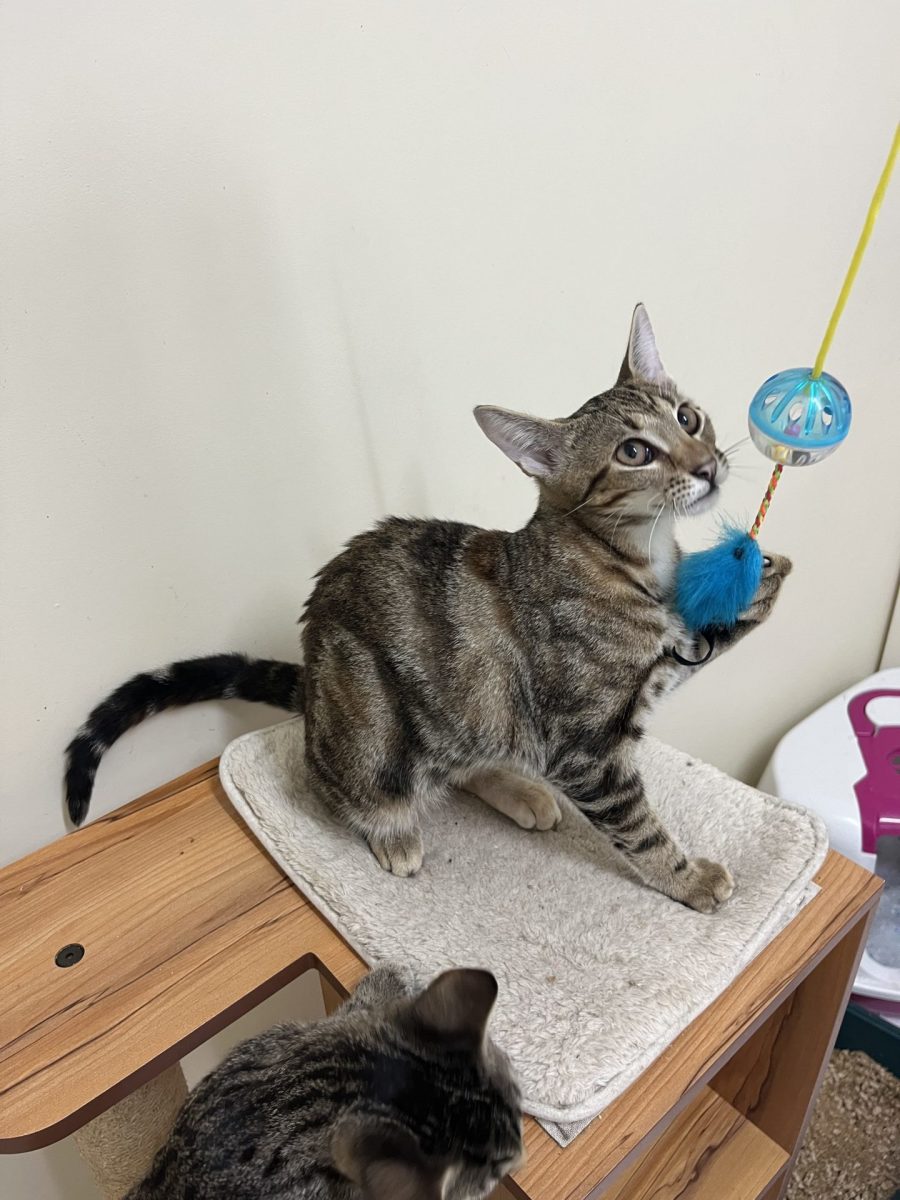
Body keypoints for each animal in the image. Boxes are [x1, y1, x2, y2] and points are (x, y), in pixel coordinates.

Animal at [65, 304, 791, 912]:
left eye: (688, 417)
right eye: (634, 451)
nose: (707, 466)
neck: (638, 558)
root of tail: (313, 676)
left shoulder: (657, 673)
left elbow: (708, 637)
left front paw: (761, 577)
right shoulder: (587, 746)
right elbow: (640, 830)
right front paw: (690, 879)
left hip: (475, 708)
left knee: (463, 757)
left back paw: (519, 791)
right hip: (375, 720)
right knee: (351, 782)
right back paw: (395, 832)